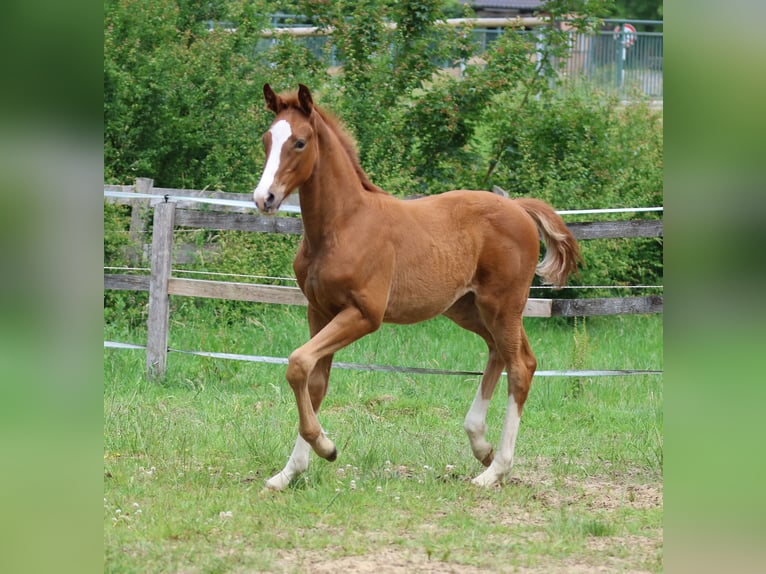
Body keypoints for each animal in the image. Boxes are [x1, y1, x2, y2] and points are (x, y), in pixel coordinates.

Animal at [252, 84, 581, 491]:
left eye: (299, 142)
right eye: (267, 140)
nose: (264, 198)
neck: (342, 225)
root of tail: (518, 207)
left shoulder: (364, 314)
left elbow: (298, 363)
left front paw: (326, 447)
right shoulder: (320, 311)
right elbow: (314, 382)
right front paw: (289, 472)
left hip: (503, 305)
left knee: (519, 367)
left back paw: (494, 471)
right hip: (468, 308)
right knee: (503, 354)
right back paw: (481, 445)